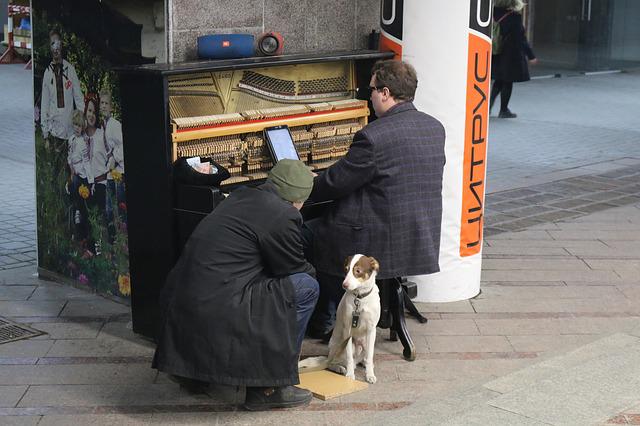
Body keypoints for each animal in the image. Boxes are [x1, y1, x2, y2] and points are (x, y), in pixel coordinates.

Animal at [330, 253, 380, 382]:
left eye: (358, 271)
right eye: (346, 269)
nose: (344, 285)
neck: (360, 298)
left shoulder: (371, 329)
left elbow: (370, 356)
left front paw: (370, 374)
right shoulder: (348, 330)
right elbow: (349, 357)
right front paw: (350, 374)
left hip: (365, 343)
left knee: (365, 357)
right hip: (340, 345)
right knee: (332, 362)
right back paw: (340, 368)